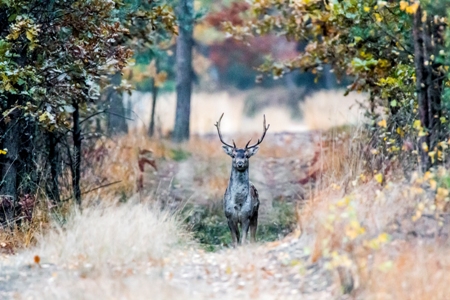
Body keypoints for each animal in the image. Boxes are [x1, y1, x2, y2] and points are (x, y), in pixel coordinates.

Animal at [215, 112, 268, 246]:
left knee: (253, 236)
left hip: (256, 213)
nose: (240, 163)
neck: (238, 203)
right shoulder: (229, 216)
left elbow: (244, 240)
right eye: (233, 155)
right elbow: (235, 241)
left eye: (247, 155)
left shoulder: (246, 216)